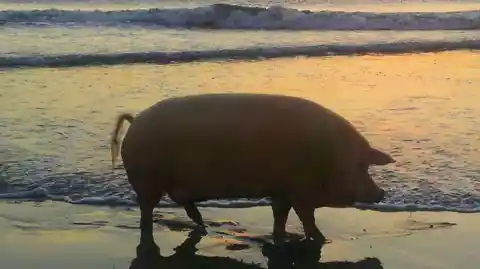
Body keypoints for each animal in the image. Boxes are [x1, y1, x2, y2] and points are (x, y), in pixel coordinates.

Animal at [110, 92, 396, 255]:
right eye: (360, 165)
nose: (381, 193)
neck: (328, 157)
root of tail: (135, 120)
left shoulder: (281, 192)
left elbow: (280, 217)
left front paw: (282, 238)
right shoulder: (299, 191)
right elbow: (307, 219)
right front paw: (320, 238)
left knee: (189, 208)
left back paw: (204, 226)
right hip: (146, 181)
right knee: (147, 211)